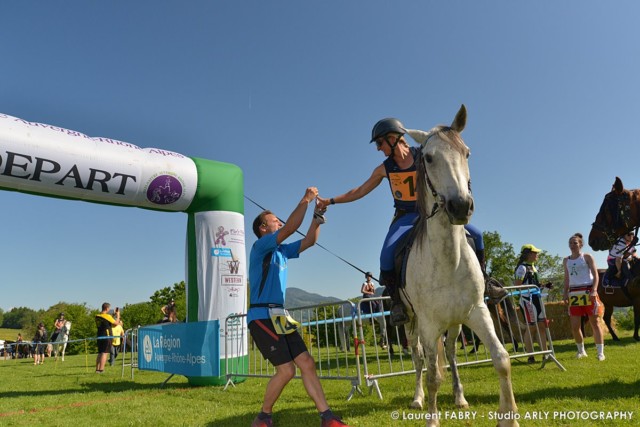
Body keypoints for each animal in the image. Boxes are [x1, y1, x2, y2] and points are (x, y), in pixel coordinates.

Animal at [404, 104, 520, 427]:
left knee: (453, 353)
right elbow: (432, 376)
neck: (448, 260)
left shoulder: (477, 312)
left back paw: (459, 397)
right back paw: (417, 399)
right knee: (419, 359)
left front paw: (509, 417)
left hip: (455, 325)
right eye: (429, 157)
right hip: (411, 323)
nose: (460, 206)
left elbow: (502, 359)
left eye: (466, 153)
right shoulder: (428, 324)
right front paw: (431, 419)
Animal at [592, 177, 640, 342]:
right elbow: (637, 319)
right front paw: (636, 336)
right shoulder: (637, 300)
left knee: (605, 319)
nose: (592, 239)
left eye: (606, 208)